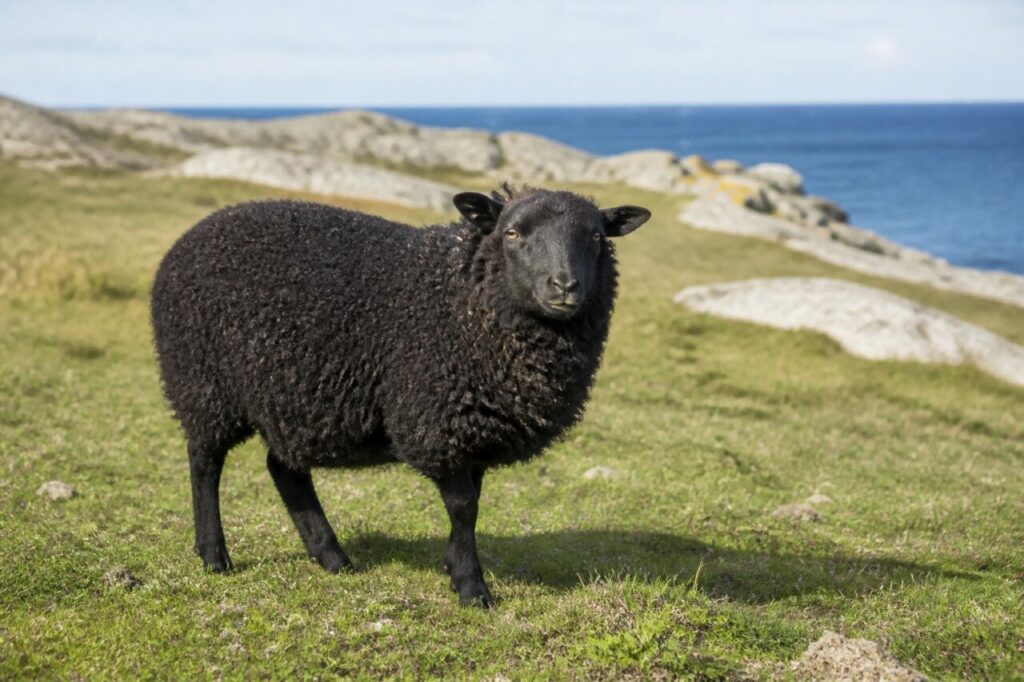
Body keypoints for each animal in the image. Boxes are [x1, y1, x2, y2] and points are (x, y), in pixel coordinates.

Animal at [151, 184, 651, 607]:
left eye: (596, 236)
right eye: (512, 232)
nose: (564, 286)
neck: (464, 298)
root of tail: (194, 233)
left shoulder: (475, 426)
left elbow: (473, 502)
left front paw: (453, 565)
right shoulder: (438, 422)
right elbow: (464, 507)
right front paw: (471, 587)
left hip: (289, 399)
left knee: (284, 469)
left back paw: (331, 557)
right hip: (204, 384)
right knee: (204, 463)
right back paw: (214, 554)